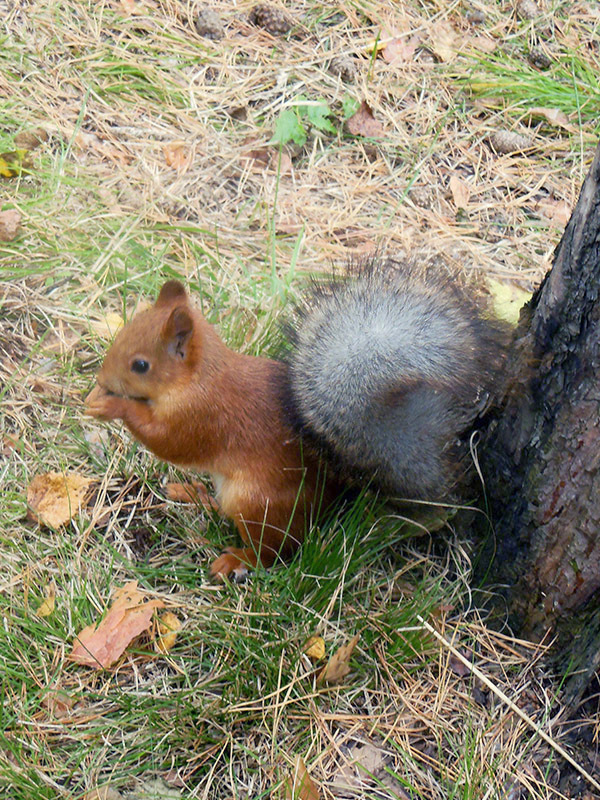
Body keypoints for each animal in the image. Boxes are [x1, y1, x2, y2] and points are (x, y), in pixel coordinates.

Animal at [83, 260, 506, 580]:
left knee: (275, 549)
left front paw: (112, 407)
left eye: (141, 365)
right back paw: (194, 493)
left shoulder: (203, 415)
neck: (200, 376)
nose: (102, 380)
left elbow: (168, 441)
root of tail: (335, 497)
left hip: (257, 502)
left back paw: (238, 559)